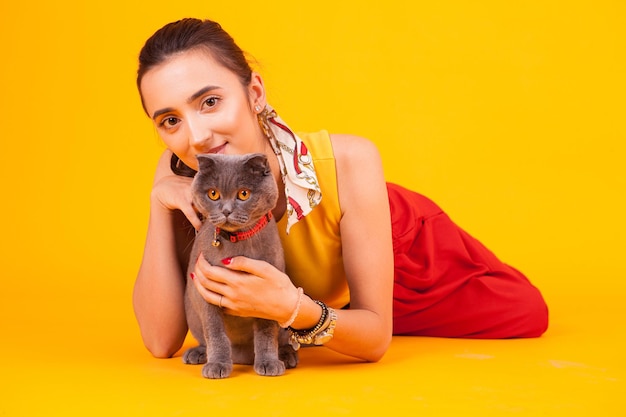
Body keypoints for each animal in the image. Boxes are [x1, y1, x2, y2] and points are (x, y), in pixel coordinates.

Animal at [180, 153, 298, 376]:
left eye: (244, 194)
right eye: (213, 194)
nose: (226, 211)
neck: (238, 241)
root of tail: (241, 356)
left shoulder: (269, 288)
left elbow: (266, 330)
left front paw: (269, 362)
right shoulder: (205, 290)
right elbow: (215, 331)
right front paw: (217, 365)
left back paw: (287, 356)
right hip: (192, 313)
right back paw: (197, 353)